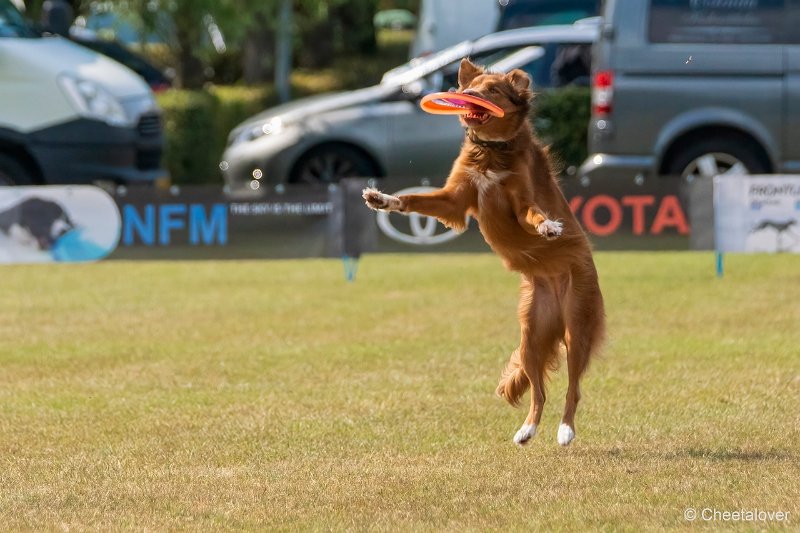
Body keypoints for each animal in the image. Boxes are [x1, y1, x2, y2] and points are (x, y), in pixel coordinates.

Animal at [364, 59, 608, 444]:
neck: (492, 150)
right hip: (531, 335)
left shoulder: (520, 202)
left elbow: (534, 214)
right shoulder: (453, 199)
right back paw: (527, 429)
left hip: (578, 323)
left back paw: (565, 430)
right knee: (538, 391)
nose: (466, 95)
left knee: (573, 388)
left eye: (491, 90)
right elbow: (414, 200)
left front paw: (548, 228)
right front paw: (382, 199)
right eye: (472, 86)